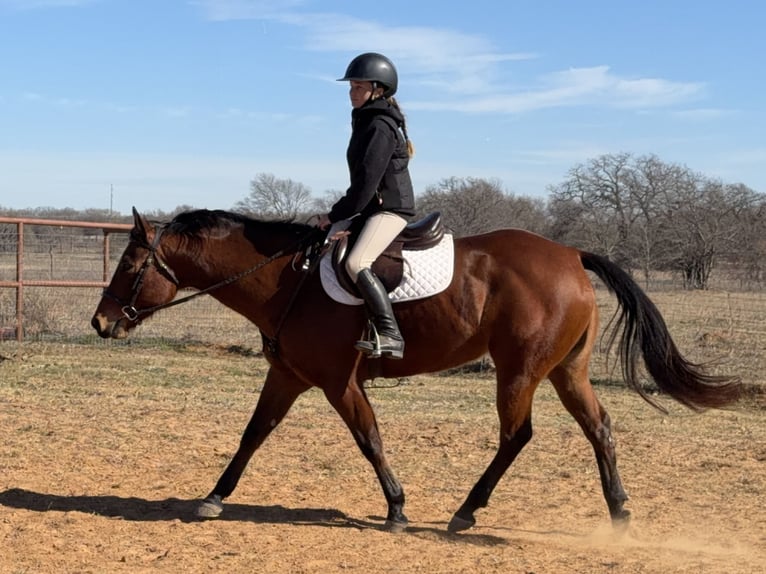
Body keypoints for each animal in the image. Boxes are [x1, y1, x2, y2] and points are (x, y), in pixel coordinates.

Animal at [91, 208, 741, 533]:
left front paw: (398, 509)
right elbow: (253, 435)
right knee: (598, 428)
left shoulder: (337, 382)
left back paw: (465, 512)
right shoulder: (290, 376)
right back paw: (619, 513)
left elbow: (369, 439)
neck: (287, 280)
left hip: (519, 370)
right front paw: (213, 498)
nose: (101, 323)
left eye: (129, 265)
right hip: (565, 371)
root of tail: (571, 255)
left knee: (517, 434)